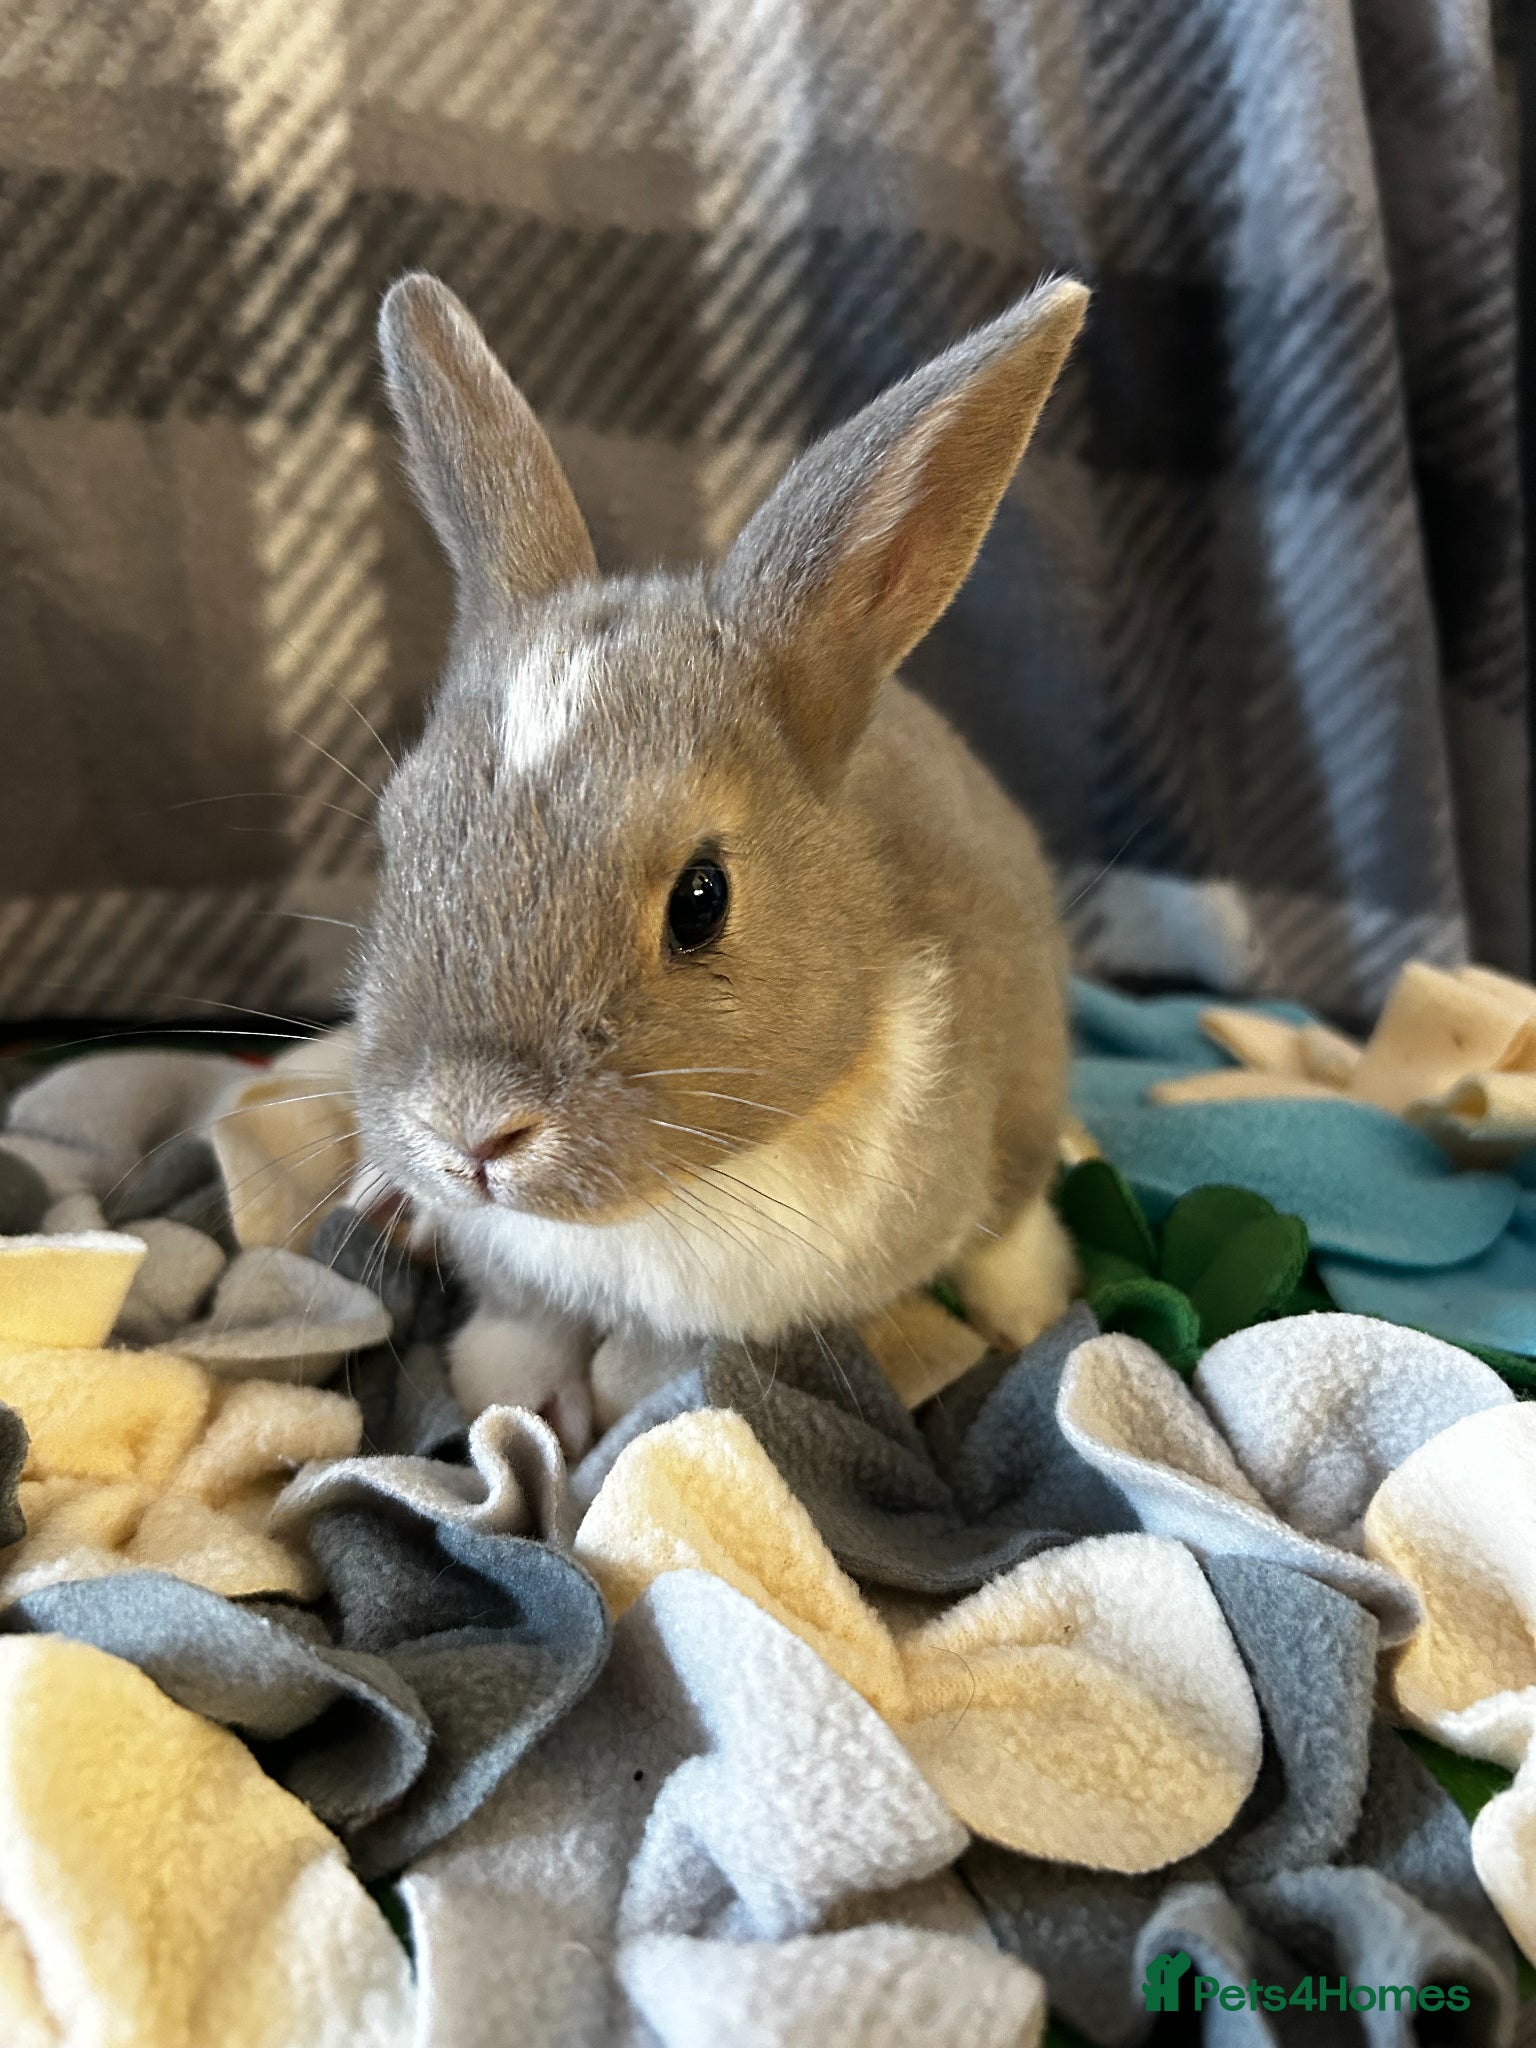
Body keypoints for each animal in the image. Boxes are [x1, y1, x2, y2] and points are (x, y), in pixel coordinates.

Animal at [351, 270, 1088, 1450]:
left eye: (702, 899)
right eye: (396, 834)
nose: (469, 1133)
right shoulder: (515, 1275)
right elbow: (515, 1332)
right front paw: (525, 1396)